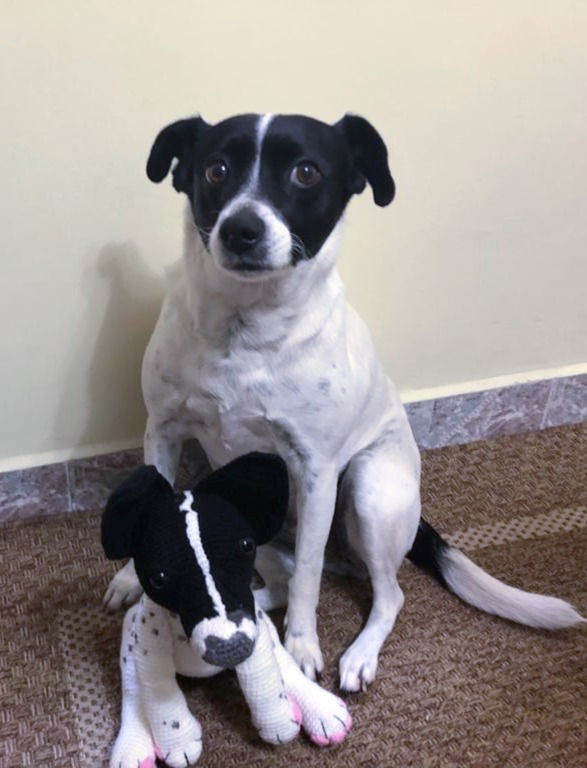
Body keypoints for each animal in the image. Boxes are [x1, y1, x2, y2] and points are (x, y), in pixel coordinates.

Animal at [104, 111, 585, 692]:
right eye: (216, 169)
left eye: (306, 172)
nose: (241, 229)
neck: (245, 329)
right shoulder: (164, 428)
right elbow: (150, 504)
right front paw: (132, 581)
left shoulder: (315, 469)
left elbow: (310, 577)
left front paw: (301, 649)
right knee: (281, 581)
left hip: (368, 491)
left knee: (385, 593)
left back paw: (357, 655)